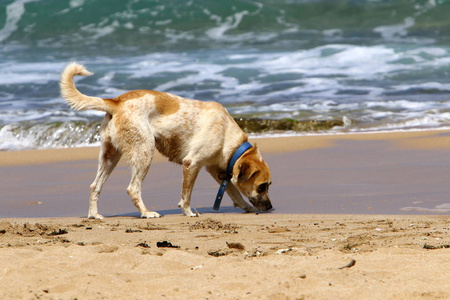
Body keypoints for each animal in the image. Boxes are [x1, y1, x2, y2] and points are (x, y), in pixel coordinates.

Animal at [59, 62, 270, 218]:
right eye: (262, 186)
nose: (270, 207)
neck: (228, 137)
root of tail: (116, 102)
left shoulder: (215, 170)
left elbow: (235, 193)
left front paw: (248, 208)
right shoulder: (191, 164)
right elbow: (186, 194)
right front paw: (188, 212)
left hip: (110, 156)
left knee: (95, 186)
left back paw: (94, 215)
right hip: (144, 151)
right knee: (133, 188)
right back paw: (146, 213)